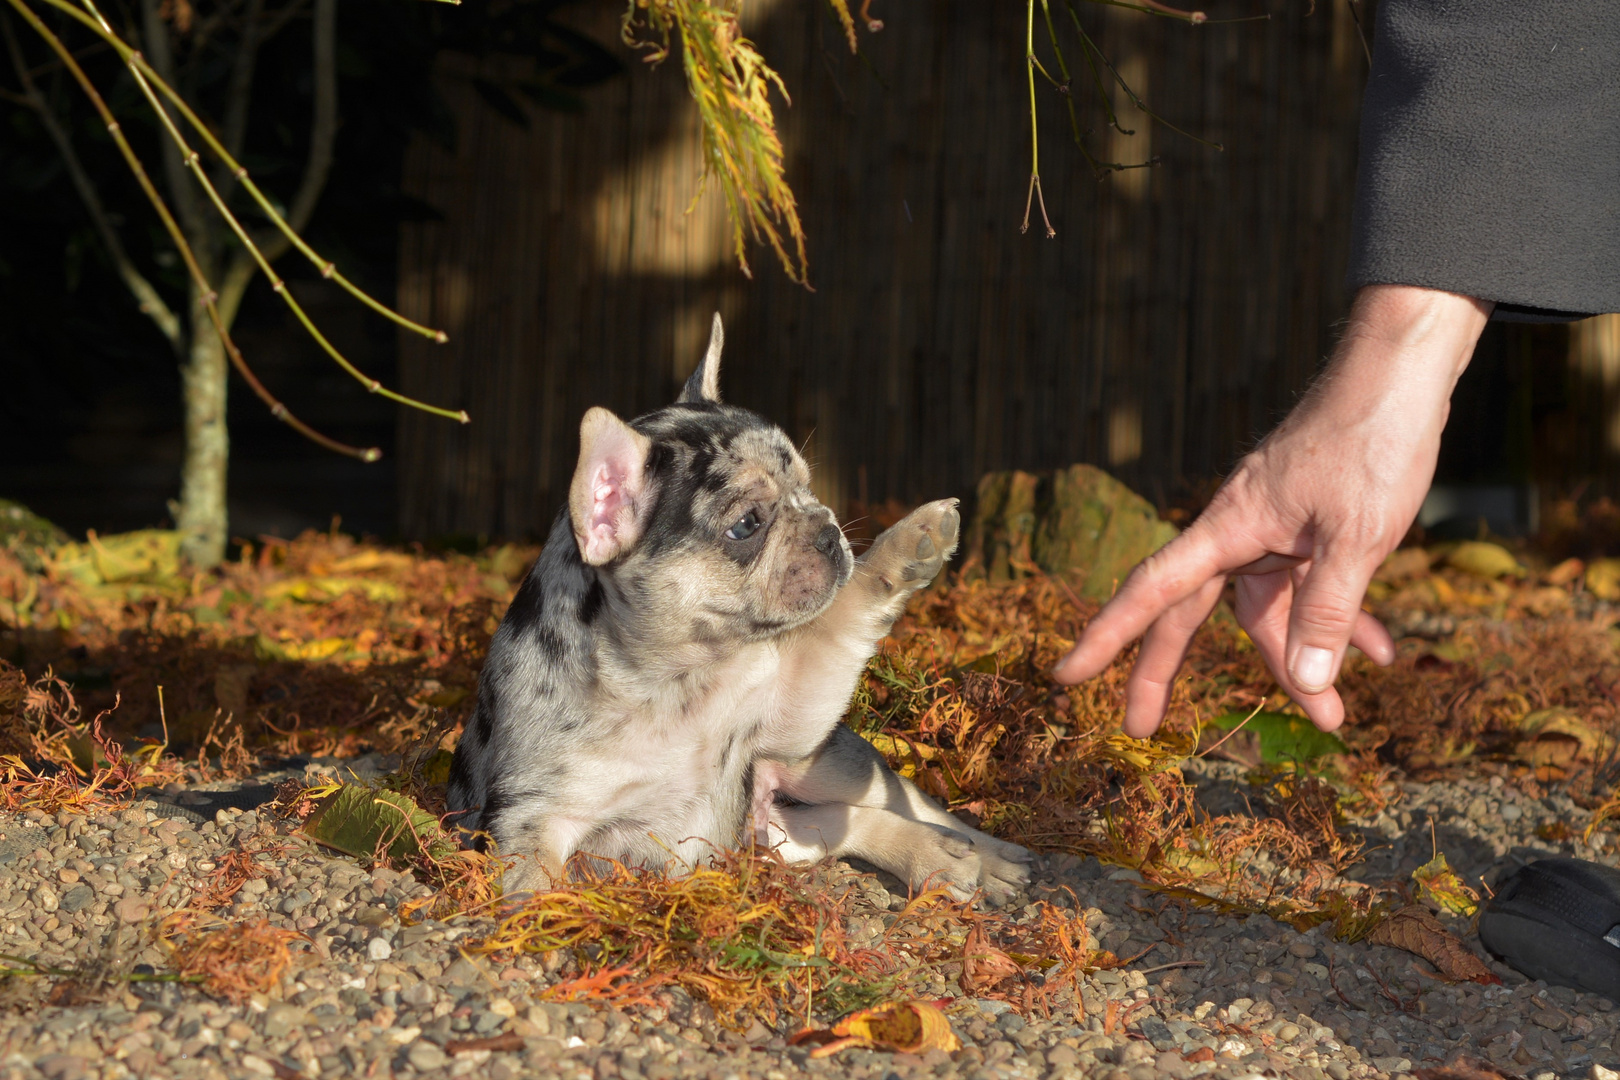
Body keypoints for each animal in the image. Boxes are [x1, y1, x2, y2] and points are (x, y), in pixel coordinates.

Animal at [447, 318, 1023, 906]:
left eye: (806, 486)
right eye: (746, 525)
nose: (827, 529)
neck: (669, 681)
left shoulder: (785, 713)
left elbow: (836, 621)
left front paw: (901, 549)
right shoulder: (533, 819)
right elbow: (537, 884)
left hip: (821, 760)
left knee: (906, 802)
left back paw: (989, 856)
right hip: (773, 835)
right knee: (840, 825)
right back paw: (942, 857)